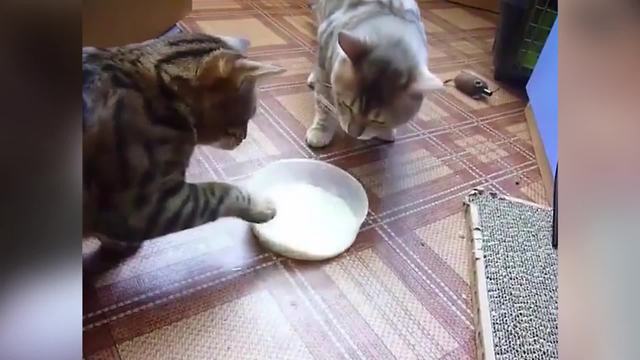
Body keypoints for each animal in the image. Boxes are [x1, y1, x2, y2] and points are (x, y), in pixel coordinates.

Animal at [304, 0, 440, 147]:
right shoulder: (325, 56)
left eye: (379, 121)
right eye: (346, 105)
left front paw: (387, 132)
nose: (353, 133)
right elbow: (324, 104)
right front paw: (320, 131)